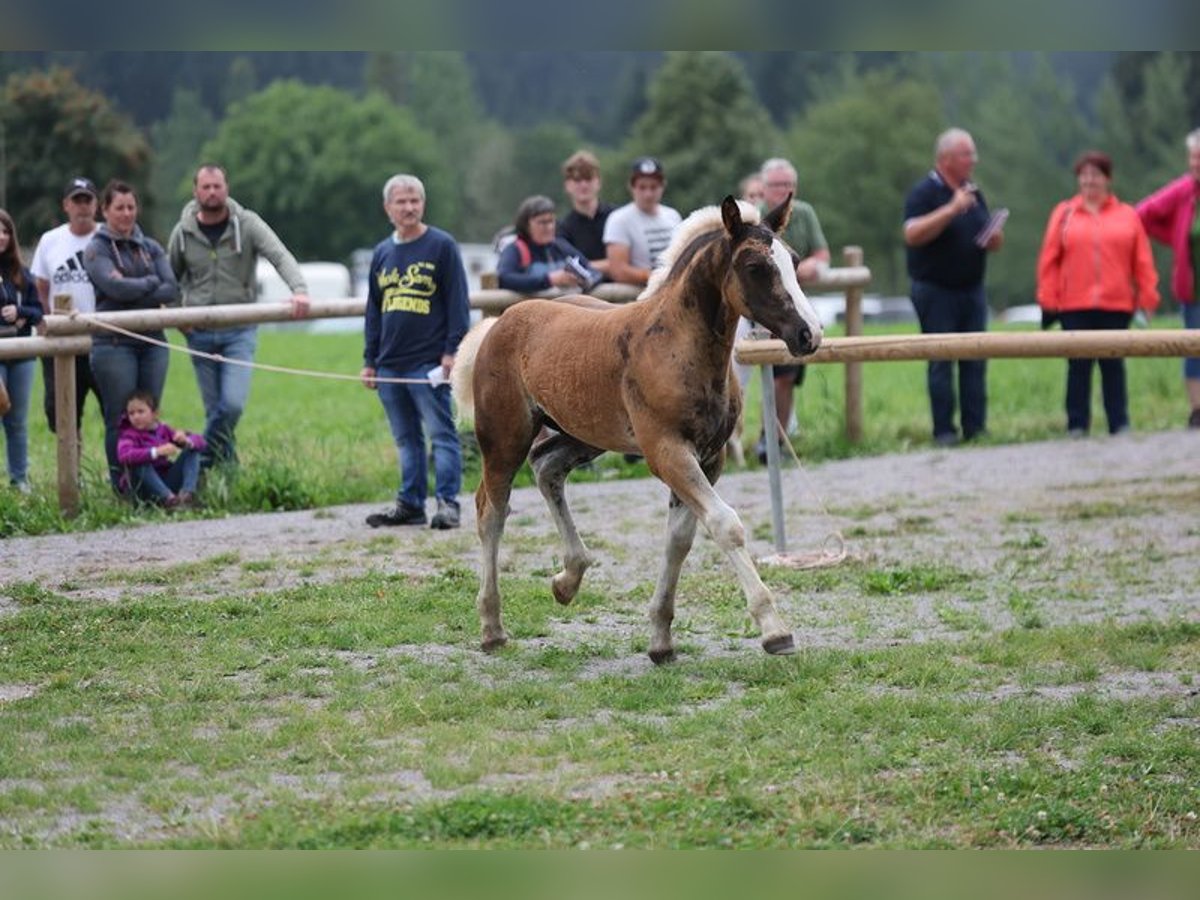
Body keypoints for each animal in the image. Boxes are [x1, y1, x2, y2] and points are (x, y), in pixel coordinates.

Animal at [451, 196, 825, 662]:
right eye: (755, 266)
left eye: (795, 261)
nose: (810, 334)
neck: (675, 345)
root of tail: (498, 322)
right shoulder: (667, 451)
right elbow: (725, 524)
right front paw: (775, 630)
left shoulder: (709, 457)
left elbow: (679, 539)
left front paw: (661, 639)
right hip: (505, 439)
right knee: (492, 510)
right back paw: (492, 626)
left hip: (584, 435)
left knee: (547, 468)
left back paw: (568, 579)